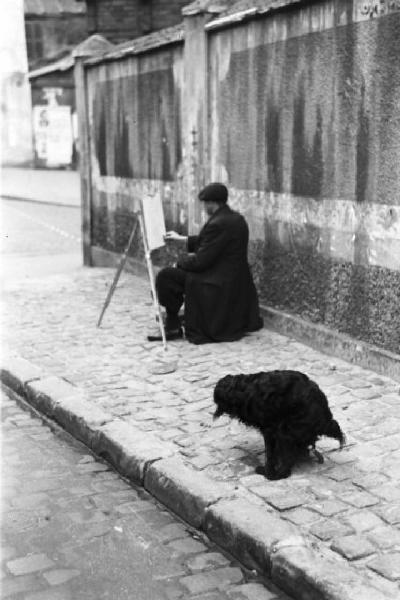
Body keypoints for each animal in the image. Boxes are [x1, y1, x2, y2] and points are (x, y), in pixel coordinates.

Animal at [214, 368, 346, 480]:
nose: (215, 413)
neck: (244, 389)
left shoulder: (269, 430)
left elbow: (270, 455)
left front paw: (268, 470)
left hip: (285, 431)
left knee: (286, 466)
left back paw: (271, 474)